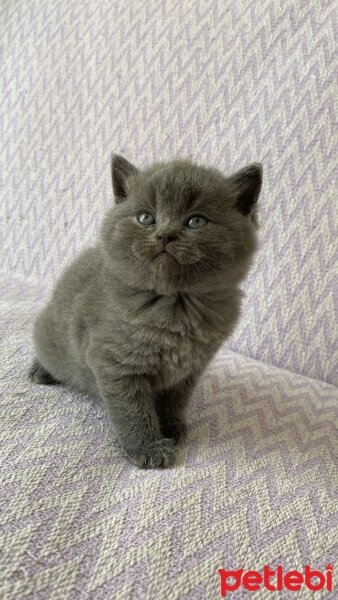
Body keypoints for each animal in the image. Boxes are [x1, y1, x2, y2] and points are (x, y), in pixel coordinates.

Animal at [29, 154, 262, 468]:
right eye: (145, 217)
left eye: (196, 221)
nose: (165, 235)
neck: (175, 305)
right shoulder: (114, 364)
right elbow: (132, 410)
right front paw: (148, 448)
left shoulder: (190, 368)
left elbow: (175, 400)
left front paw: (173, 427)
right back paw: (40, 371)